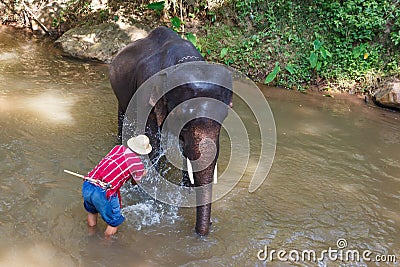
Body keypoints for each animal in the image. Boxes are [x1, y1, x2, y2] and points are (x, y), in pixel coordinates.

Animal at [109, 26, 234, 237]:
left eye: (225, 115)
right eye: (182, 114)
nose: (207, 227)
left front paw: (186, 190)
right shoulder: (147, 93)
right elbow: (152, 141)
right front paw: (151, 192)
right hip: (120, 94)